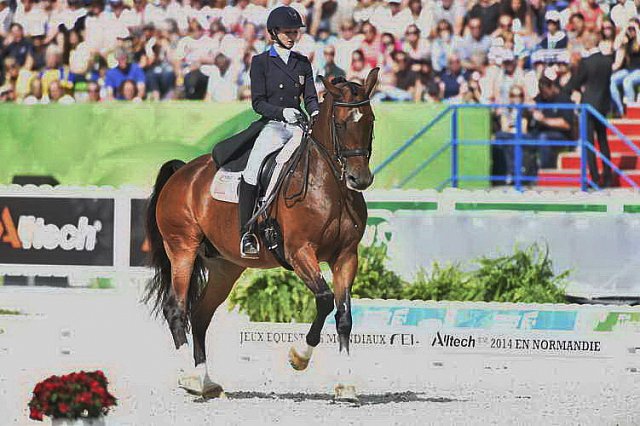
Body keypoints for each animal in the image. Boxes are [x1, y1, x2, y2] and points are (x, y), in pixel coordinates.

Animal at [143, 68, 378, 402]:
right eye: (341, 123)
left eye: (370, 120)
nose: (360, 179)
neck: (329, 185)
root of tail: (182, 172)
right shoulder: (299, 252)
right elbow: (324, 300)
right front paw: (299, 357)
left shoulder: (346, 256)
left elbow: (344, 316)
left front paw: (346, 385)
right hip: (182, 249)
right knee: (176, 308)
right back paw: (187, 377)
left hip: (225, 266)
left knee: (200, 315)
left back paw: (205, 381)